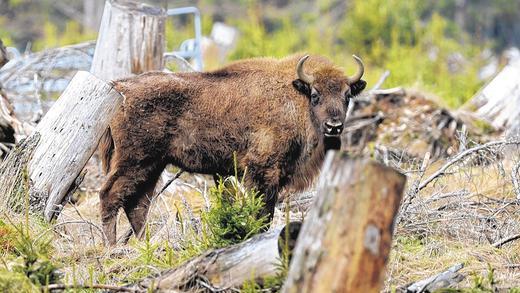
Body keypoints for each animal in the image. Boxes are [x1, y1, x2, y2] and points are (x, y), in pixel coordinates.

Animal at [97, 53, 366, 243]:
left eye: (347, 96)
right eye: (315, 95)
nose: (334, 126)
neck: (294, 97)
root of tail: (119, 87)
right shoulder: (262, 172)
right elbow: (263, 213)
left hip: (153, 165)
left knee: (137, 205)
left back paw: (146, 246)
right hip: (133, 161)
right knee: (110, 196)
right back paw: (112, 247)